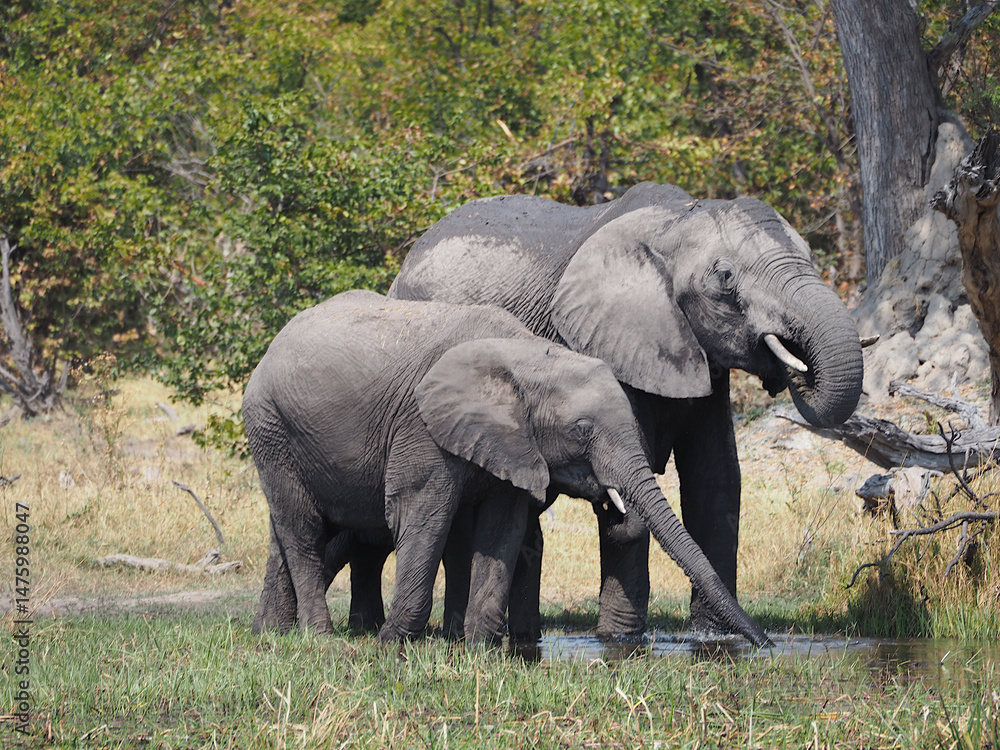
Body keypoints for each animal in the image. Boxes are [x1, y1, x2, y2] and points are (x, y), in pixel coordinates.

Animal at [244, 289, 771, 646]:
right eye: (582, 430)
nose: (764, 646)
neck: (528, 357)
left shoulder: (516, 442)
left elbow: (503, 527)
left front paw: (477, 648)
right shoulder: (422, 424)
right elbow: (422, 517)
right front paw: (393, 645)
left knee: (285, 531)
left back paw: (271, 633)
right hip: (270, 424)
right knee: (302, 527)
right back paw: (319, 637)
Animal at [380, 182, 864, 639]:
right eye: (725, 278)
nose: (792, 360)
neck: (674, 223)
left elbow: (717, 482)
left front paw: (713, 637)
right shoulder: (605, 340)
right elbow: (636, 491)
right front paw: (620, 637)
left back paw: (524, 635)